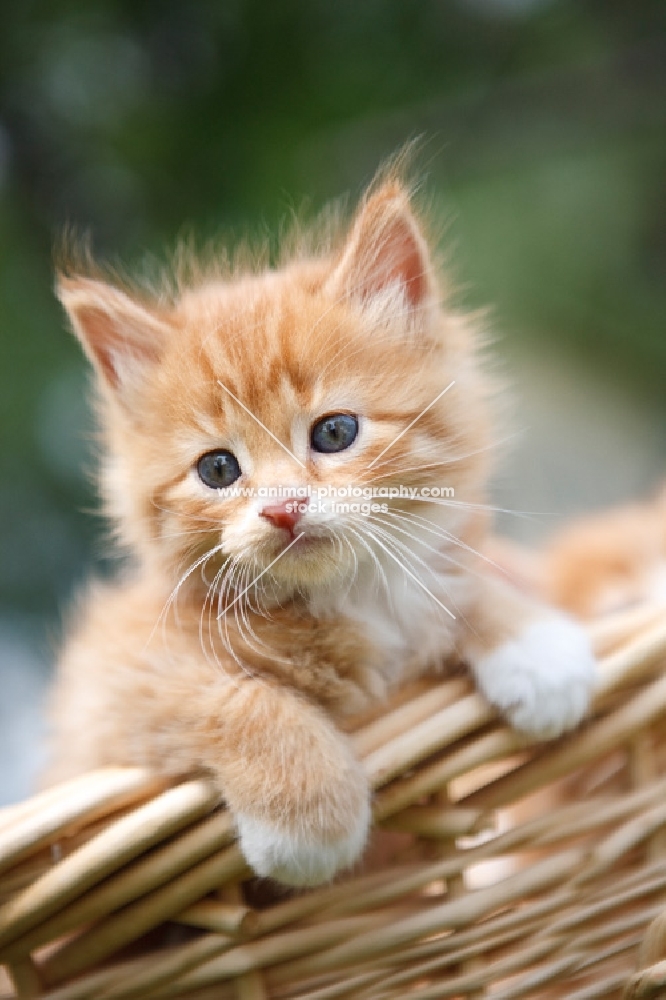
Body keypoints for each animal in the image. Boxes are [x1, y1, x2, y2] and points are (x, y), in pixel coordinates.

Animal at [49, 176, 592, 888]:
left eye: (334, 432)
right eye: (217, 469)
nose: (283, 508)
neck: (352, 596)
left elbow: (460, 583)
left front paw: (537, 646)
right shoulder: (103, 690)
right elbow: (238, 698)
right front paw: (310, 820)